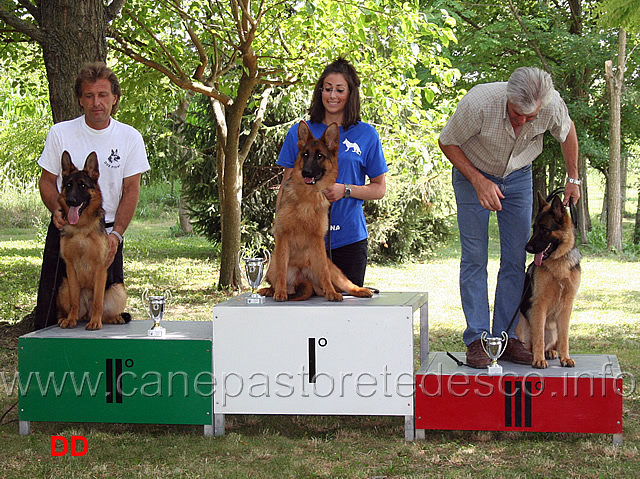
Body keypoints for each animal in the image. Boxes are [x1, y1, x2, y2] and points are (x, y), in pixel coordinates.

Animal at [56, 152, 130, 332]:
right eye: (68, 185)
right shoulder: (71, 268)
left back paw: (113, 318)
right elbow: (74, 301)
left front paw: (96, 322)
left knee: (105, 311)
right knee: (75, 307)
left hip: (118, 289)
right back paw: (67, 317)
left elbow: (97, 300)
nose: (71, 201)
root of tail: (86, 313)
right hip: (63, 287)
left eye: (83, 186)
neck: (81, 229)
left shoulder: (100, 268)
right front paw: (70, 320)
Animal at [258, 122, 372, 302]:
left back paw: (357, 290)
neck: (307, 197)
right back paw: (271, 290)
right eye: (305, 155)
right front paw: (280, 293)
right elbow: (282, 270)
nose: (306, 172)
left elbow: (323, 271)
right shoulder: (283, 238)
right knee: (276, 277)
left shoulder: (317, 240)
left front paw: (331, 293)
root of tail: (303, 278)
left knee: (345, 283)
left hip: (333, 270)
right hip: (272, 266)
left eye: (320, 156)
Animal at [516, 189, 584, 370]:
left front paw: (565, 357)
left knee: (554, 342)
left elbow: (564, 338)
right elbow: (538, 336)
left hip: (553, 329)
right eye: (534, 228)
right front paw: (539, 360)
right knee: (530, 344)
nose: (527, 248)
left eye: (545, 229)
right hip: (521, 325)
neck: (558, 263)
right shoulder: (540, 304)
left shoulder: (567, 306)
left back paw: (551, 351)